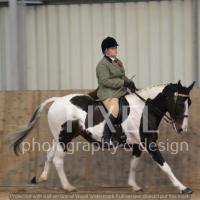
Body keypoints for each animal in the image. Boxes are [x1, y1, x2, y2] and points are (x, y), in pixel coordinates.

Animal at [10, 79, 195, 194]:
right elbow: (165, 165)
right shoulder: (149, 143)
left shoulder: (138, 144)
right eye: (180, 103)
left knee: (49, 154)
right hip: (64, 138)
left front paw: (134, 186)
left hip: (60, 137)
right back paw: (68, 187)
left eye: (190, 103)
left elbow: (134, 164)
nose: (182, 128)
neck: (144, 108)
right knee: (58, 160)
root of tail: (57, 100)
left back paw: (40, 178)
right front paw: (183, 188)